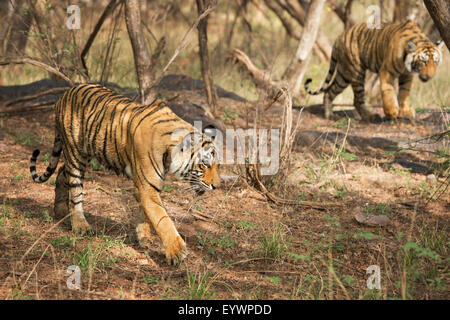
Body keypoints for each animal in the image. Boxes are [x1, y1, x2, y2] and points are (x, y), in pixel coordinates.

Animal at [29, 83, 221, 264]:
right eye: (204, 165)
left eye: (217, 164)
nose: (217, 186)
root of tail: (66, 93)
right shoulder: (147, 186)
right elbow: (162, 219)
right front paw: (177, 252)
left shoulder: (148, 185)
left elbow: (146, 213)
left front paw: (145, 238)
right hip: (76, 153)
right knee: (75, 189)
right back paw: (80, 225)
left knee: (63, 172)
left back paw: (61, 210)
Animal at [304, 19, 444, 121]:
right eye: (423, 61)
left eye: (435, 62)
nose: (430, 76)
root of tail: (339, 38)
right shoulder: (387, 71)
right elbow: (388, 91)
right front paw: (392, 111)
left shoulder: (407, 75)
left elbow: (404, 92)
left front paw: (405, 111)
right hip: (356, 72)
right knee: (357, 100)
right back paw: (370, 116)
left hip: (343, 74)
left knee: (330, 91)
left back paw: (329, 115)